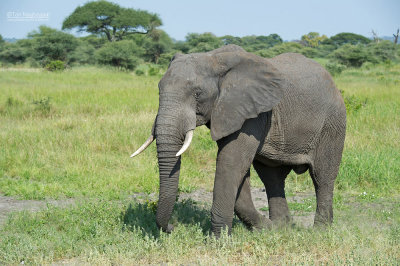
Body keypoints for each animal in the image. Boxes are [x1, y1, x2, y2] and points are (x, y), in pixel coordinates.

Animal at [131, 44, 346, 237]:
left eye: (197, 94)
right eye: (159, 91)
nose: (172, 228)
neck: (214, 58)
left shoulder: (250, 112)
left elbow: (230, 162)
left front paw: (219, 241)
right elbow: (239, 170)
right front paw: (265, 229)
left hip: (333, 123)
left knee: (322, 176)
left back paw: (320, 231)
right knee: (272, 178)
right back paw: (281, 228)